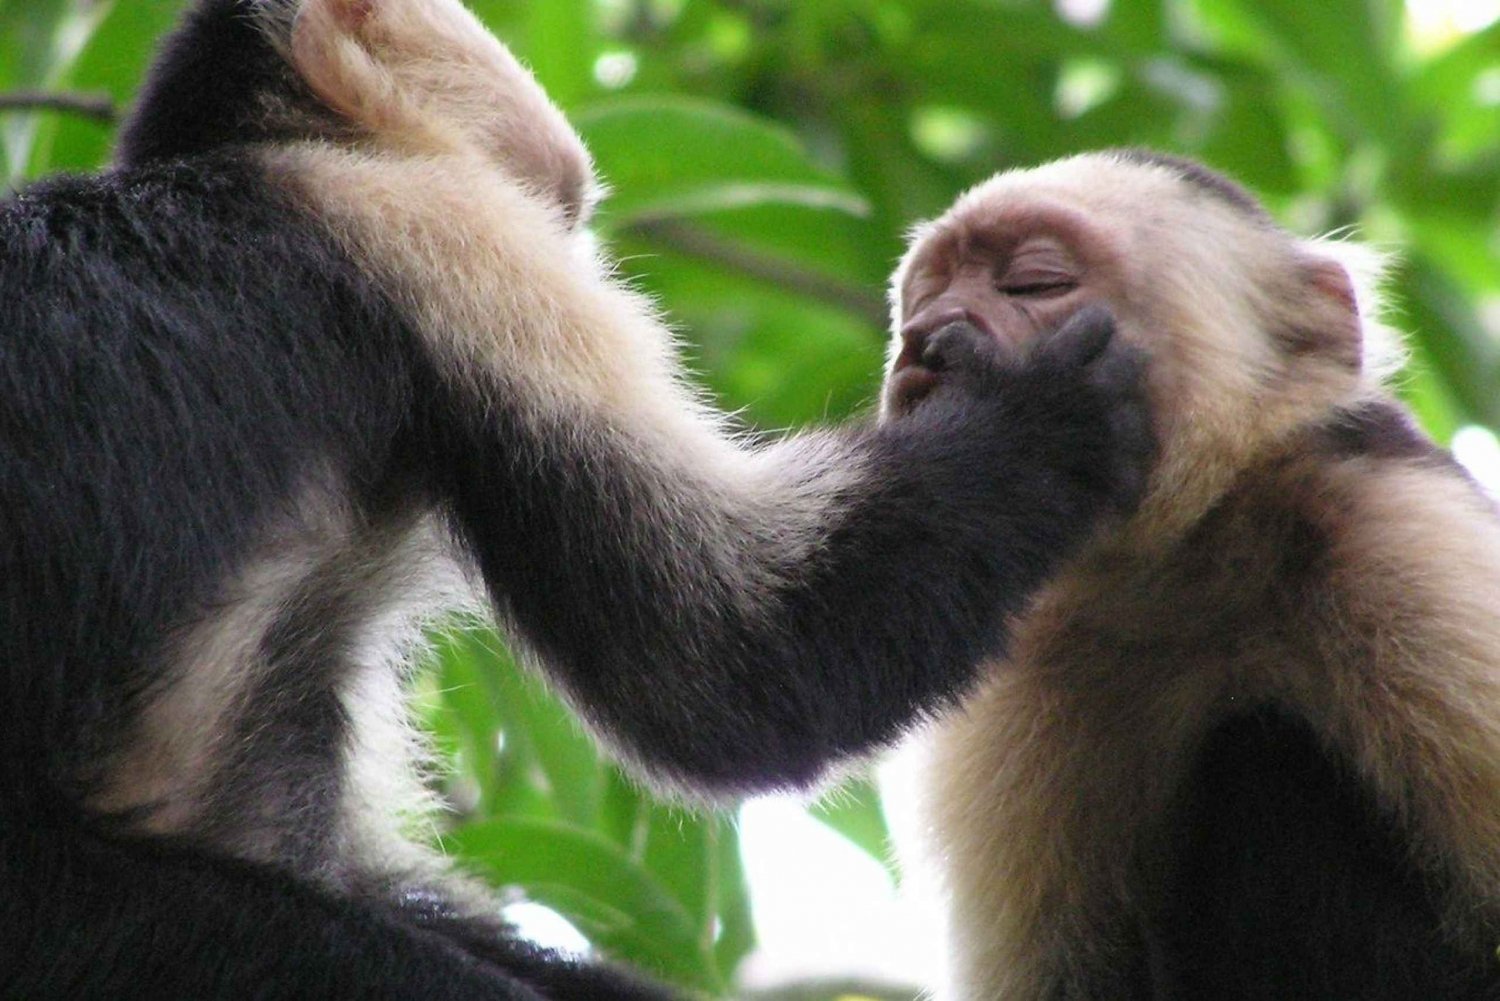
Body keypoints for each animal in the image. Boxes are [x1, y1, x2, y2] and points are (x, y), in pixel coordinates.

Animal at [882, 148, 1500, 1001]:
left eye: (1035, 282)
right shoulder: (1020, 672)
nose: (926, 340)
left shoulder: (1404, 538)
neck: (1191, 572)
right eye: (925, 298)